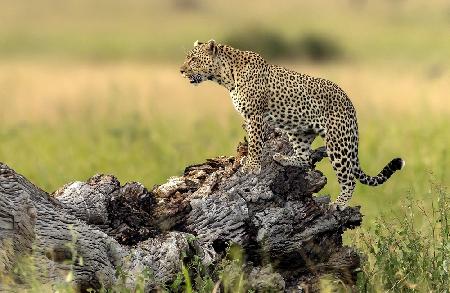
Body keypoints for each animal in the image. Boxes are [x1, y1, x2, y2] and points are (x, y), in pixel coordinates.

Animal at [179, 39, 404, 208]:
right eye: (187, 58)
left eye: (193, 59)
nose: (181, 70)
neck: (225, 76)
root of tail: (349, 102)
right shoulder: (251, 118)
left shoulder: (255, 116)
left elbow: (255, 144)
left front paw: (251, 166)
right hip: (298, 131)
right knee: (305, 158)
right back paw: (285, 159)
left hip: (338, 142)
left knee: (348, 179)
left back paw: (339, 204)